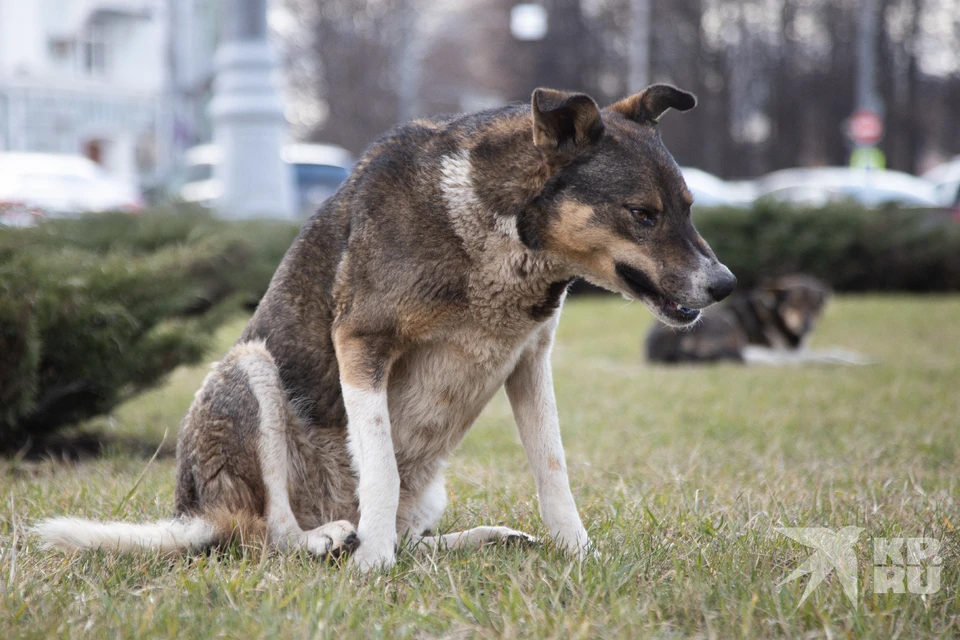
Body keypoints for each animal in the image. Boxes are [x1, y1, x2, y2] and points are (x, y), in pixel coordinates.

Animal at [31, 84, 736, 568]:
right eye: (643, 214)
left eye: (689, 207)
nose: (726, 284)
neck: (495, 232)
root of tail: (196, 514)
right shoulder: (362, 343)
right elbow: (379, 466)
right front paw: (372, 563)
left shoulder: (529, 363)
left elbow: (553, 469)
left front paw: (580, 552)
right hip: (249, 371)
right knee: (270, 535)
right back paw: (331, 539)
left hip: (431, 490)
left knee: (414, 535)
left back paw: (481, 538)